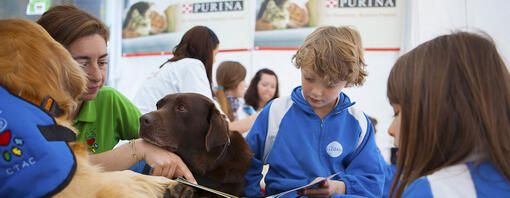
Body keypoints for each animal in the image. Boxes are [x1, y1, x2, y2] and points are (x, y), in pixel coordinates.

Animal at [0, 18, 193, 198]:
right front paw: (167, 181)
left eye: (101, 61)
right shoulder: (83, 182)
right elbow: (125, 176)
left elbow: (125, 174)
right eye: (84, 63)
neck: (28, 96)